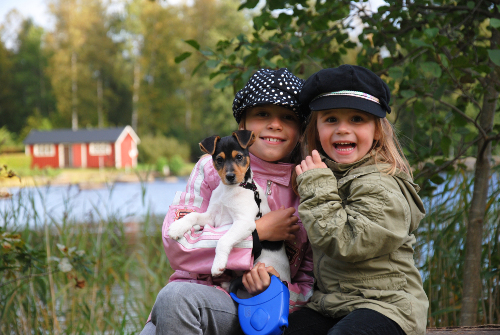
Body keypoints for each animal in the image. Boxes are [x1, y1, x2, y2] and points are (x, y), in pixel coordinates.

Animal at [169, 129, 292, 284]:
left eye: (239, 157)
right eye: (219, 160)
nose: (230, 176)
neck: (230, 190)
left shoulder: (244, 222)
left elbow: (223, 239)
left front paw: (218, 265)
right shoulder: (212, 217)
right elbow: (193, 215)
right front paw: (177, 227)